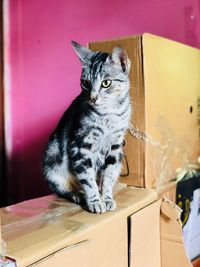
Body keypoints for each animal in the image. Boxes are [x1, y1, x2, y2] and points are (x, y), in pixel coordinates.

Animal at [42, 41, 131, 214]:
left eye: (106, 83)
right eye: (85, 83)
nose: (93, 98)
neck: (109, 114)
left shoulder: (115, 147)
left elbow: (108, 176)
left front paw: (107, 199)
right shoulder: (81, 146)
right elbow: (88, 180)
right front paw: (95, 202)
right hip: (52, 162)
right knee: (63, 188)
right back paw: (77, 194)